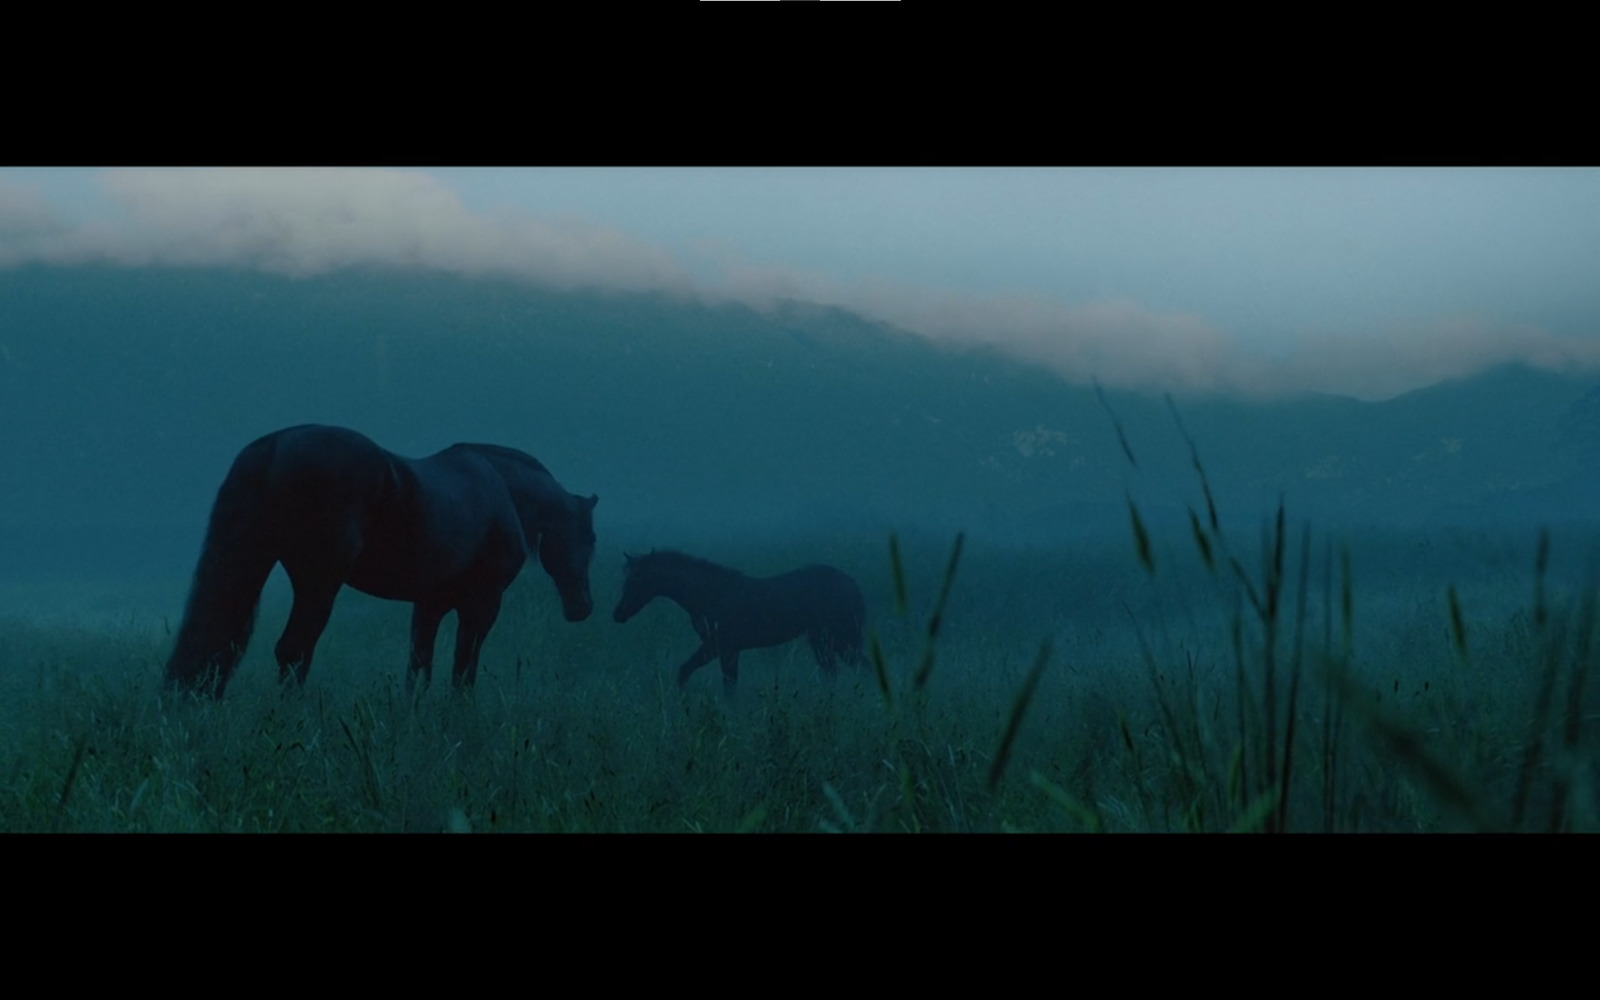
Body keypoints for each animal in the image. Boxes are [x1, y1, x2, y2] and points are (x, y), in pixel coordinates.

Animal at [165, 425, 601, 697]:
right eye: (591, 539)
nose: (583, 607)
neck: (502, 489)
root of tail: (275, 446)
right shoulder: (482, 605)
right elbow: (462, 669)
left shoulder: (430, 605)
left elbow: (419, 668)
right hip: (317, 585)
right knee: (293, 651)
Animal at [608, 547, 864, 694]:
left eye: (636, 580)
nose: (618, 614)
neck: (708, 594)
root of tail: (852, 583)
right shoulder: (721, 648)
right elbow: (692, 673)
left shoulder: (722, 647)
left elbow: (721, 683)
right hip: (824, 641)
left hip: (840, 640)